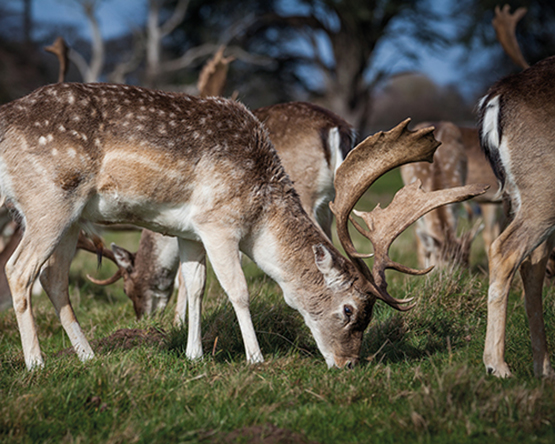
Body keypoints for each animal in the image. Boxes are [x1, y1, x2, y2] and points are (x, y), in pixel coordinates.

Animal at [0, 80, 486, 372]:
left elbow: (195, 285)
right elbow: (238, 289)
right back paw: (36, 363)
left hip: (72, 218)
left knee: (54, 277)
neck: (259, 210)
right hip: (47, 202)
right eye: (350, 310)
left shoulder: (188, 231)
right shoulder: (217, 222)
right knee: (20, 270)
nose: (348, 364)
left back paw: (87, 355)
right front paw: (255, 357)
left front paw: (194, 355)